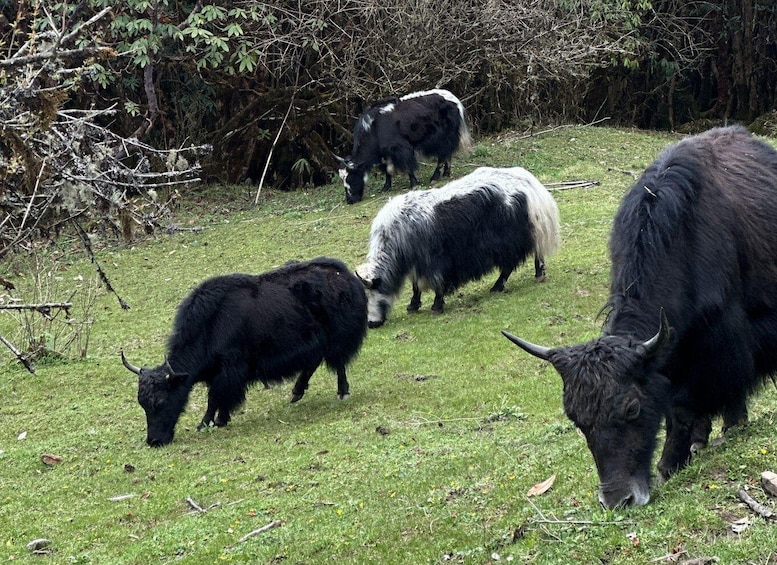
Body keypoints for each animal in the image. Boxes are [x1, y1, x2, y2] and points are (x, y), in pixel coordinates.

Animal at [120, 257, 368, 446]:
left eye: (161, 402)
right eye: (142, 403)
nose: (154, 441)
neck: (210, 326)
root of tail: (346, 274)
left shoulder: (231, 367)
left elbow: (216, 396)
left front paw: (208, 422)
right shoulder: (219, 371)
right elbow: (218, 395)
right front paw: (220, 419)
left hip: (337, 336)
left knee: (338, 363)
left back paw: (342, 392)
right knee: (314, 362)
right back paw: (297, 392)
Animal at [334, 89, 472, 204]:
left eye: (350, 178)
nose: (350, 200)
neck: (374, 129)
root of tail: (454, 100)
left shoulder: (401, 149)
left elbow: (407, 167)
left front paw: (414, 184)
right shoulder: (385, 153)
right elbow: (388, 170)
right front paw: (386, 187)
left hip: (444, 137)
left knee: (442, 156)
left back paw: (435, 177)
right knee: (447, 154)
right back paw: (446, 174)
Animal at [356, 166, 560, 328]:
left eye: (371, 294)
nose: (371, 324)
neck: (397, 232)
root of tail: (527, 183)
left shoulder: (433, 261)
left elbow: (435, 282)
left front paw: (437, 306)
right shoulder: (416, 262)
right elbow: (415, 285)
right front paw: (413, 305)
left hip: (510, 239)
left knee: (515, 261)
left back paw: (502, 285)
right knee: (533, 251)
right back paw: (536, 274)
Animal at [502, 126, 777, 509]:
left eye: (631, 409)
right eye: (576, 418)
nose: (617, 500)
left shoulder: (720, 339)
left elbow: (693, 400)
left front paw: (671, 462)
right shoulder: (671, 351)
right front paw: (685, 450)